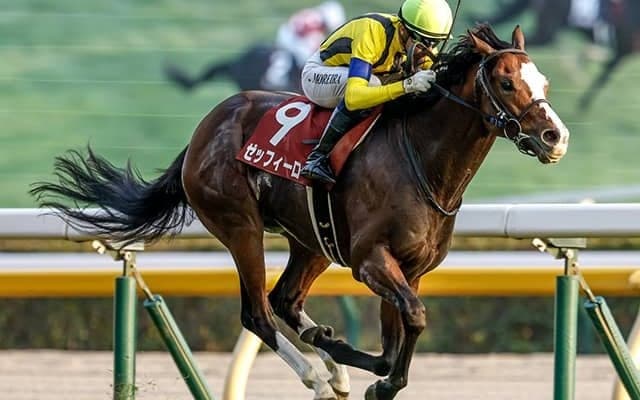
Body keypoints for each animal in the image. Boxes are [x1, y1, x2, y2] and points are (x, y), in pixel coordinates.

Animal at [469, 0, 640, 109]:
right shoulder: (625, 48)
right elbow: (605, 73)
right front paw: (583, 104)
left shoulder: (624, 49)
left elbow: (604, 68)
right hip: (547, 29)